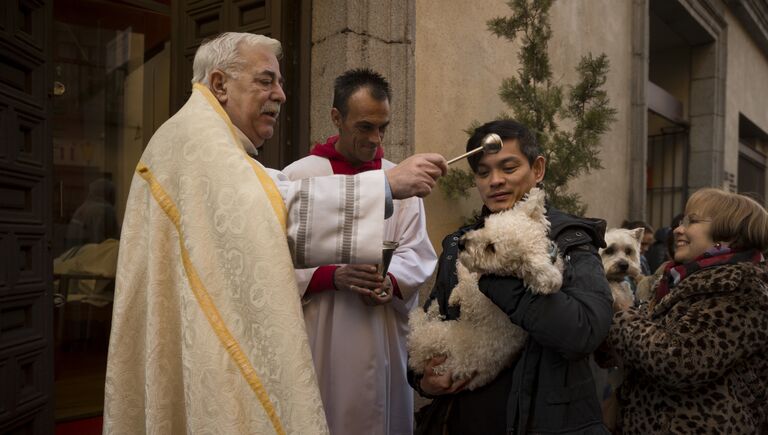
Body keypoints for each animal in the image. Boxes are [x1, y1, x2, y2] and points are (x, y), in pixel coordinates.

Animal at [408, 189, 564, 390]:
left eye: (492, 248)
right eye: (487, 224)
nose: (461, 243)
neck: (509, 275)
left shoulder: (474, 301)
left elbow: (466, 278)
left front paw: (459, 278)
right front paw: (454, 294)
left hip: (434, 337)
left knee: (417, 331)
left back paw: (421, 313)